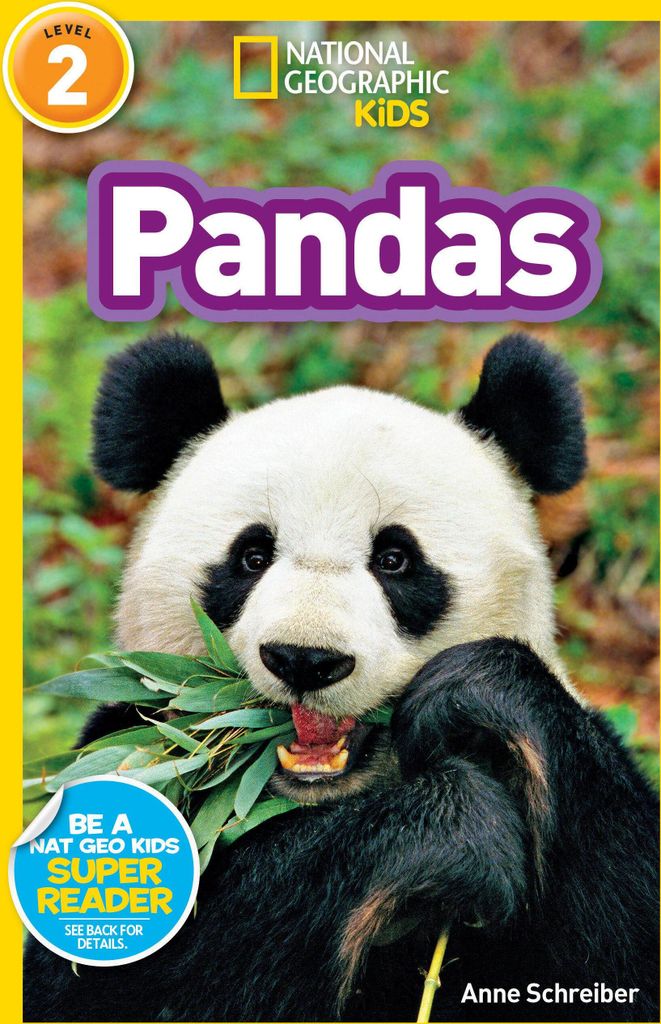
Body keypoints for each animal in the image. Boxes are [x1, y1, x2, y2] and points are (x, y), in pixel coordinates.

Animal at [24, 332, 658, 1023]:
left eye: (396, 559)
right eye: (252, 556)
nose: (305, 658)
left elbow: (621, 938)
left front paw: (477, 694)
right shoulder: (132, 749)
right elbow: (121, 973)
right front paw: (453, 827)